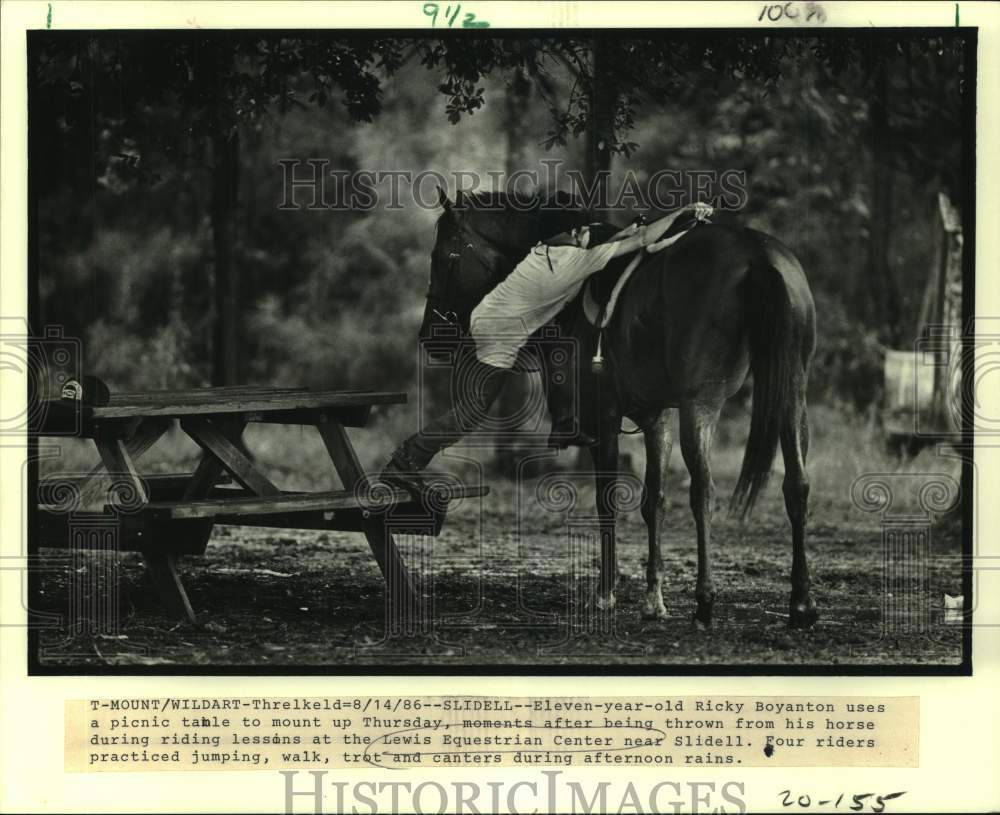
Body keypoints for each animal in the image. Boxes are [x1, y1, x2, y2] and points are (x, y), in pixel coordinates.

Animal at [422, 188, 820, 628]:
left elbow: (607, 502)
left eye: (443, 258)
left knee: (703, 491)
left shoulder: (605, 423)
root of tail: (757, 255)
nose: (429, 338)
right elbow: (654, 502)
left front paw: (606, 593)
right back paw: (801, 603)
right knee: (796, 484)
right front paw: (653, 598)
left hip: (701, 405)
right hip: (791, 396)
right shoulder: (657, 419)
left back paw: (705, 602)